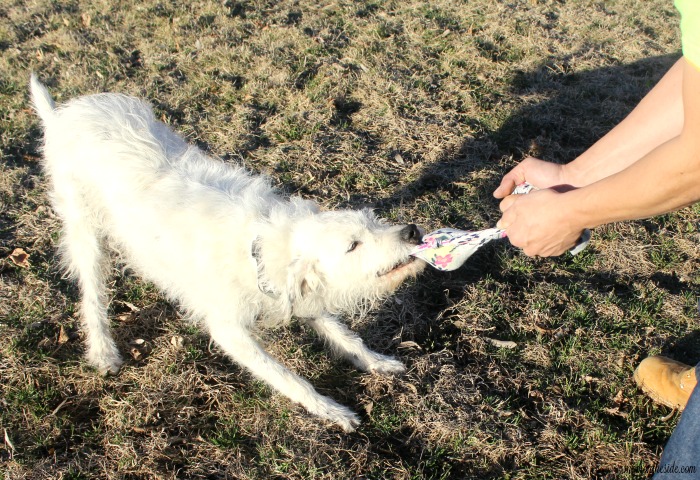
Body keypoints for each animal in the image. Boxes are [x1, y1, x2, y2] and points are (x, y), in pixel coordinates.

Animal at [30, 75, 426, 432]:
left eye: (372, 220)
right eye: (353, 245)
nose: (412, 231)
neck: (263, 248)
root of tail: (62, 113)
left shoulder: (296, 296)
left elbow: (345, 335)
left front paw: (376, 361)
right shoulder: (229, 330)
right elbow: (286, 376)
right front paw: (331, 411)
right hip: (86, 233)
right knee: (92, 295)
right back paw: (103, 351)